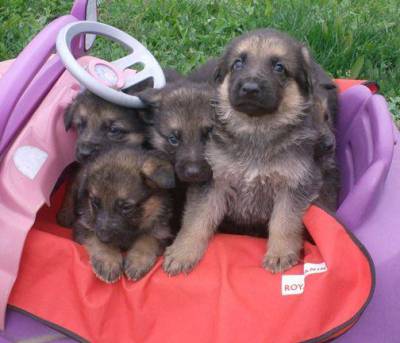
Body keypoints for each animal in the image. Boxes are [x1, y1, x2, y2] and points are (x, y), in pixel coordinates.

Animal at [63, 146, 173, 284]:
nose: (103, 237)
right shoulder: (83, 225)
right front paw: (109, 260)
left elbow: (148, 238)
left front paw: (138, 261)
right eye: (95, 203)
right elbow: (95, 239)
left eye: (126, 207)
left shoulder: (161, 230)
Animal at [164, 29, 326, 276]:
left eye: (279, 67)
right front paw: (183, 252)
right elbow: (196, 220)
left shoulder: (295, 183)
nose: (249, 89)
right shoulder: (213, 181)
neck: (256, 130)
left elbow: (284, 221)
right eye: (238, 63)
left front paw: (280, 254)